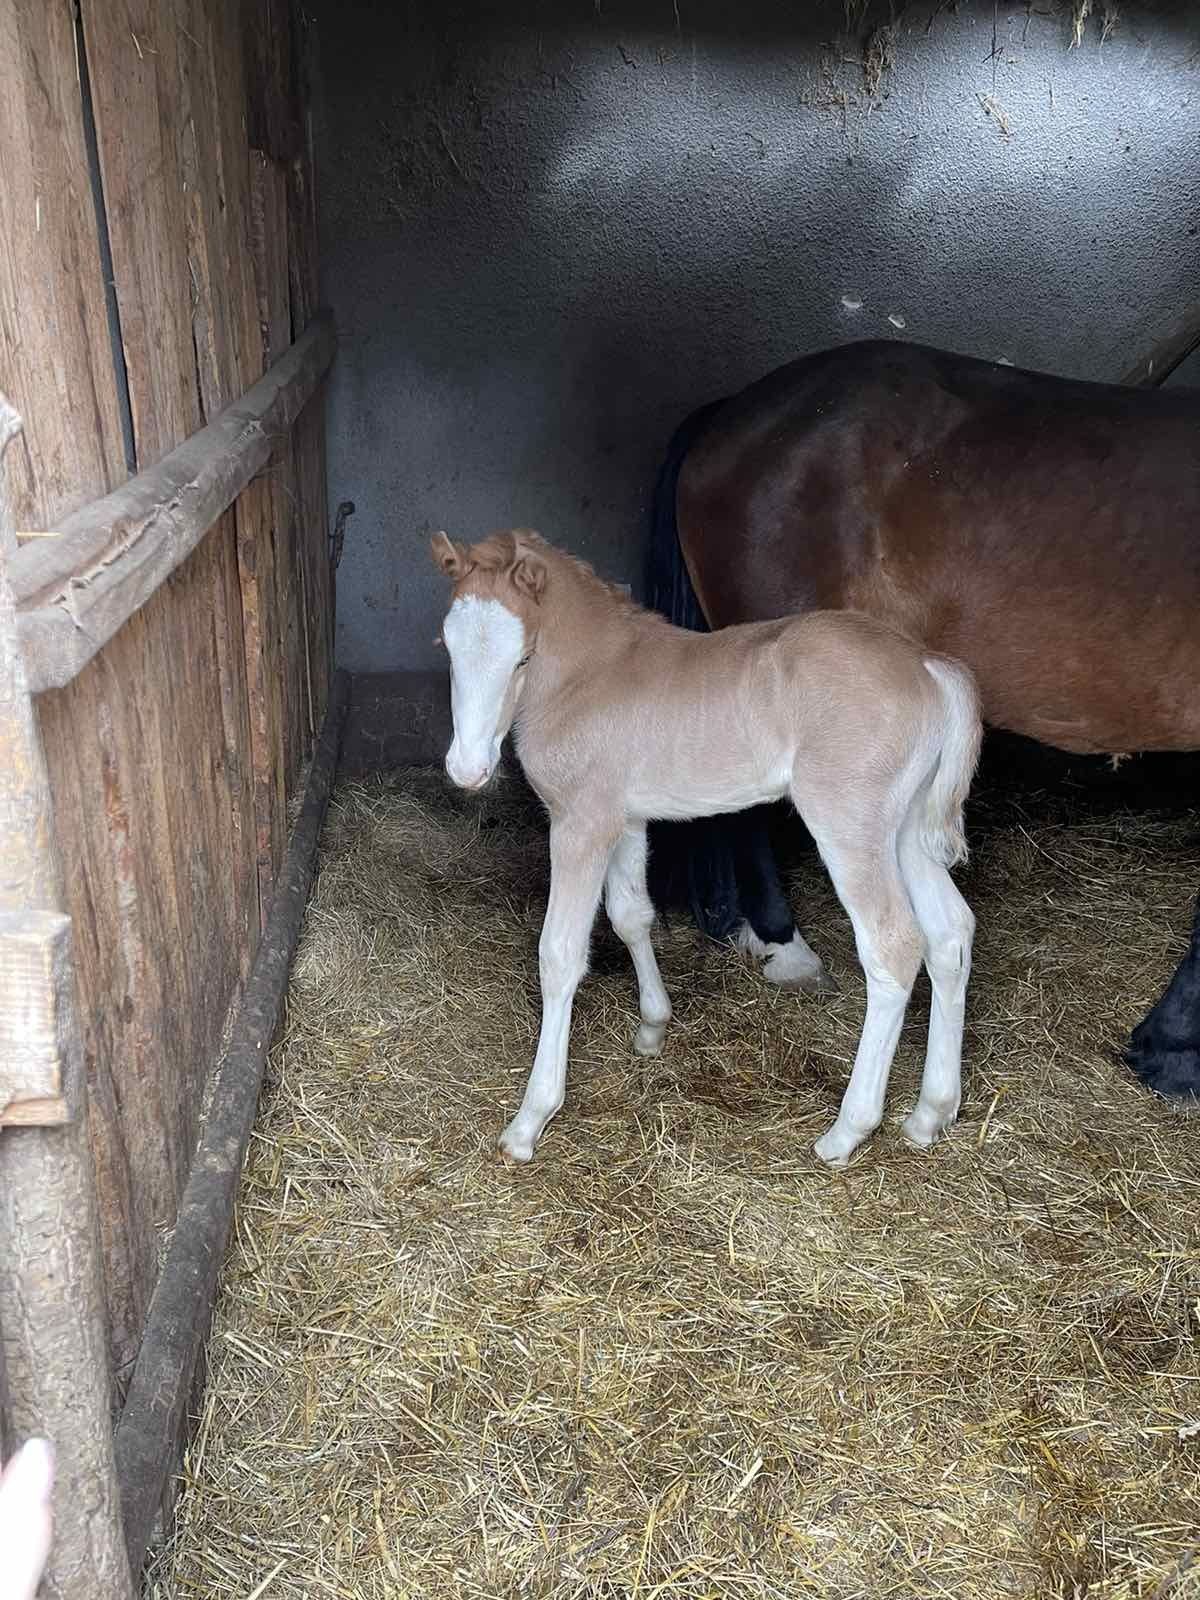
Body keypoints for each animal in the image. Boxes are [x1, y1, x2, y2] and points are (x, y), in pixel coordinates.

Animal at [438, 531, 979, 1171]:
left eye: (523, 657)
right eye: (447, 647)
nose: (467, 769)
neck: (592, 674)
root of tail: (929, 665)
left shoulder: (580, 823)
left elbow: (560, 955)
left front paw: (530, 1120)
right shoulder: (626, 819)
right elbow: (631, 915)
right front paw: (653, 1027)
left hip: (852, 826)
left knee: (894, 945)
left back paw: (846, 1132)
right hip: (907, 832)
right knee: (950, 934)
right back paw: (930, 1114)